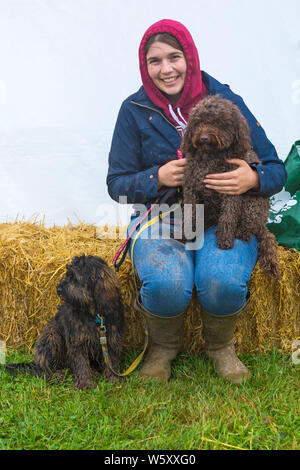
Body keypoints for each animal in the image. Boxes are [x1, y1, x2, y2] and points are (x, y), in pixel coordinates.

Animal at [4, 255, 124, 388]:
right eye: (67, 274)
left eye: (75, 277)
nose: (58, 289)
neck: (93, 313)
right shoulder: (77, 341)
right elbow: (81, 364)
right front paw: (86, 384)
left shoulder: (111, 338)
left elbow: (111, 361)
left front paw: (114, 380)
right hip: (52, 337)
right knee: (47, 370)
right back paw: (59, 375)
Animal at [180, 94, 282, 280]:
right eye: (198, 121)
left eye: (219, 122)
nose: (204, 138)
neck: (210, 157)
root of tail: (263, 224)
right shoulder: (191, 190)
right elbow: (190, 216)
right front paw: (185, 235)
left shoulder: (231, 191)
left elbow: (228, 217)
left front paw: (225, 240)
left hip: (252, 205)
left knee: (249, 228)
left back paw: (237, 232)